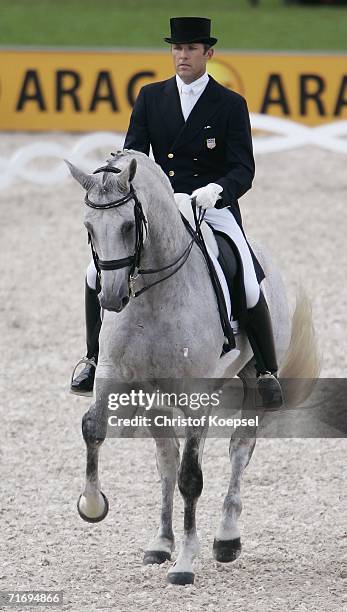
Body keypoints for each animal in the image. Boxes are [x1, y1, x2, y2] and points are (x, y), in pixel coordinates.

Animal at [66, 151, 320, 584]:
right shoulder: (113, 376)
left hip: (252, 383)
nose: (112, 299)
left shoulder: (195, 401)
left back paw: (226, 538)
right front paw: (93, 505)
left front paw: (185, 563)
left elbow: (191, 478)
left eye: (129, 225)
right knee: (166, 460)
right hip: (156, 398)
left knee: (239, 450)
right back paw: (160, 543)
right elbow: (95, 429)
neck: (152, 296)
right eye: (88, 228)